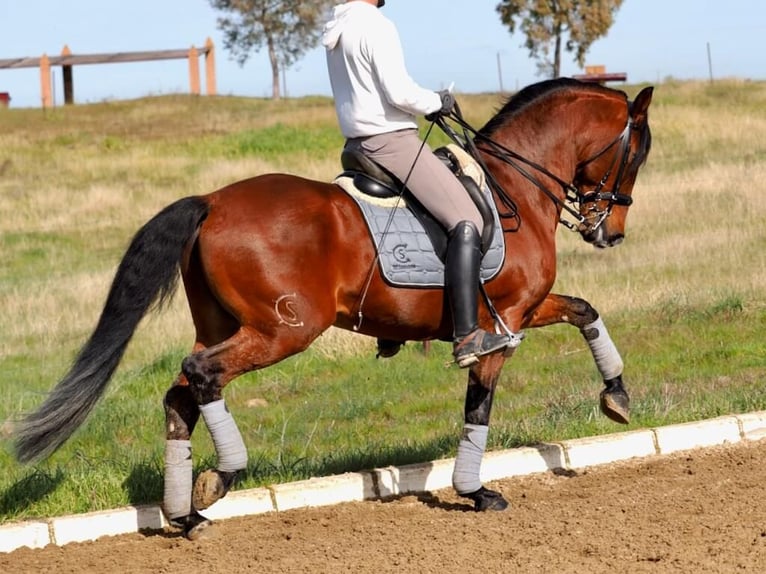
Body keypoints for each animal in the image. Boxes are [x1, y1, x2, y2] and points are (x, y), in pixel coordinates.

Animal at [13, 79, 656, 544]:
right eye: (636, 155)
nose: (612, 232)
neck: (512, 186)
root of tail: (213, 200)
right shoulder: (507, 323)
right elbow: (480, 404)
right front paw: (475, 491)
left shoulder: (525, 310)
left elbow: (585, 310)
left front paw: (617, 396)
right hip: (284, 329)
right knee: (202, 376)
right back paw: (219, 478)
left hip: (224, 323)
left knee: (180, 393)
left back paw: (186, 515)